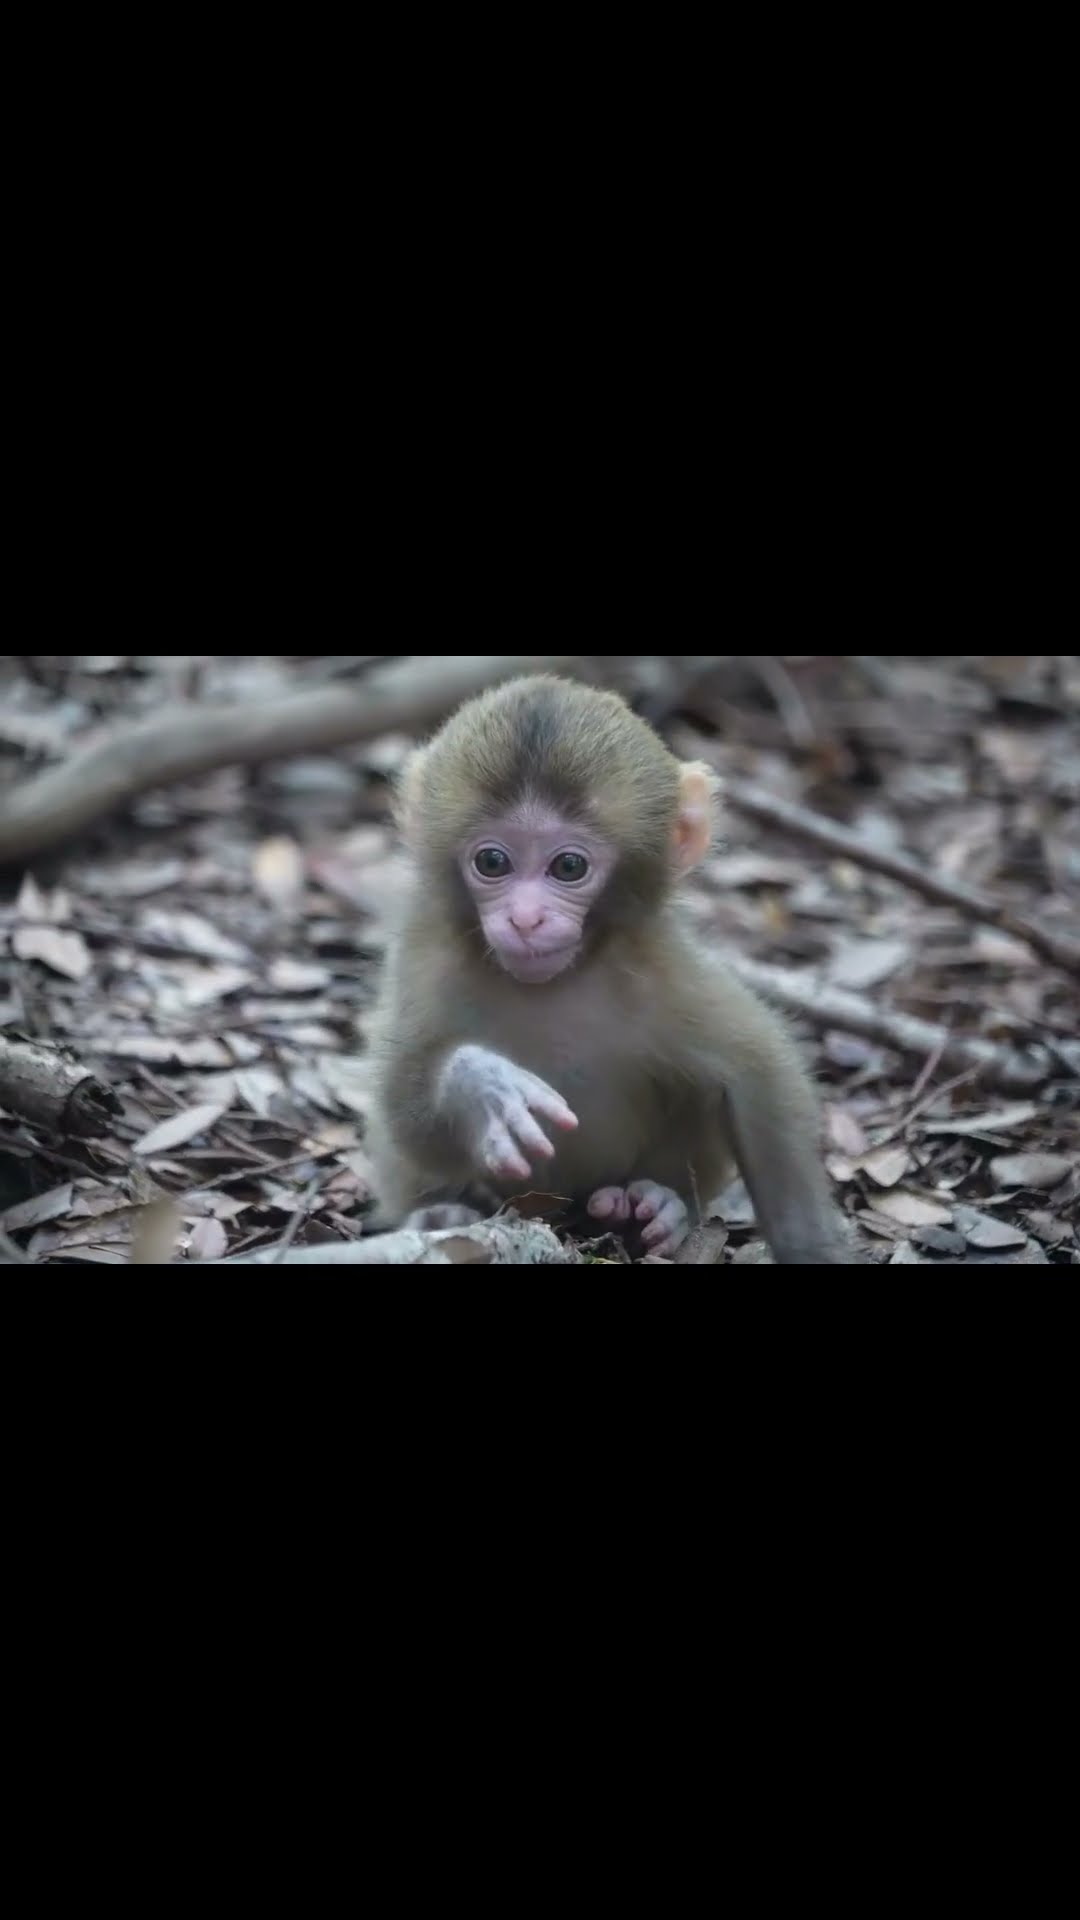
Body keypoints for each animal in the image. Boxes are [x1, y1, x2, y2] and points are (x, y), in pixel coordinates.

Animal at [367, 675, 852, 1263]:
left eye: (569, 866)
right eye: (492, 862)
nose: (525, 918)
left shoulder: (661, 965)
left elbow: (759, 1072)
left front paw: (812, 1245)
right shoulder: (427, 954)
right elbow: (399, 1109)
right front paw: (482, 1086)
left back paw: (652, 1207)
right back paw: (446, 1212)